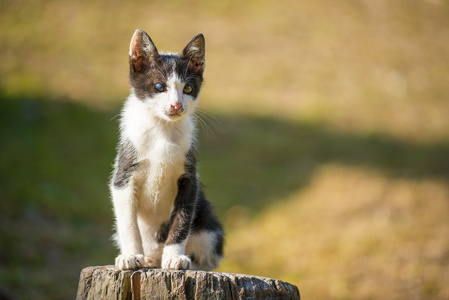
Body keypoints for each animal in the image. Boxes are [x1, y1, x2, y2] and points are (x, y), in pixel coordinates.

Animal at [109, 29, 224, 270]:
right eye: (159, 87)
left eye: (188, 88)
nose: (176, 105)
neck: (162, 130)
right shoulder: (123, 175)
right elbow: (128, 223)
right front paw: (130, 255)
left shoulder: (190, 181)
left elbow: (182, 221)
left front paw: (174, 257)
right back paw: (147, 258)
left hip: (210, 228)